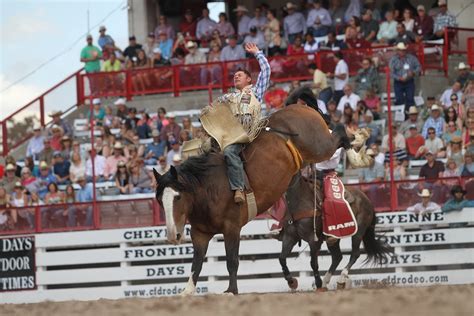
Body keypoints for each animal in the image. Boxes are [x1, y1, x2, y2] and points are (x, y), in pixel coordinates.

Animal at [154, 105, 350, 296]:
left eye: (178, 197)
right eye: (159, 200)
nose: (173, 235)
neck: (208, 190)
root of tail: (301, 107)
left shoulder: (232, 229)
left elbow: (232, 260)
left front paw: (231, 290)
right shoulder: (199, 234)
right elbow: (197, 264)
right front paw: (187, 291)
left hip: (321, 146)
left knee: (339, 132)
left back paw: (353, 143)